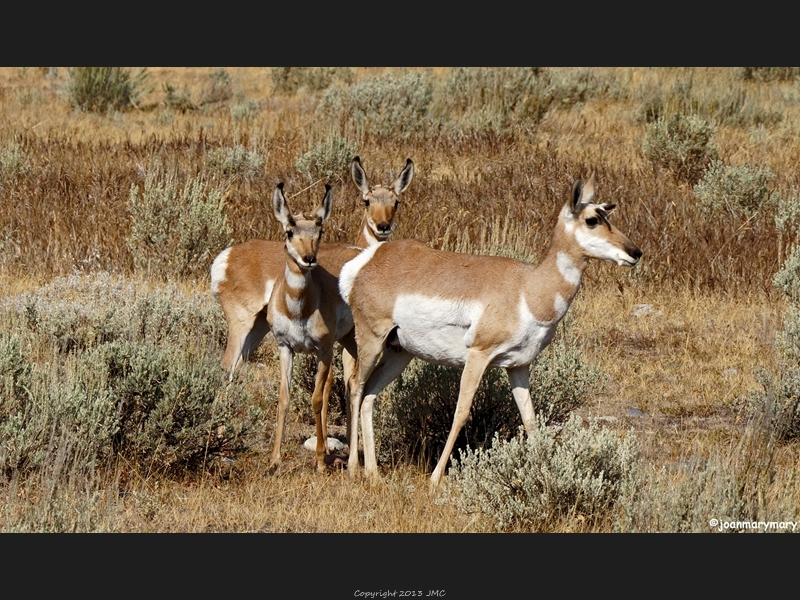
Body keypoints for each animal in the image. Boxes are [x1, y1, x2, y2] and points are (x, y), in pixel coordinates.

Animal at [340, 172, 640, 488]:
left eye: (608, 213)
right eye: (592, 219)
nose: (636, 252)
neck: (527, 288)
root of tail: (370, 260)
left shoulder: (518, 366)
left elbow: (530, 419)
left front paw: (544, 473)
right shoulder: (478, 355)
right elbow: (461, 413)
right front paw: (435, 478)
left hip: (400, 352)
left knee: (369, 395)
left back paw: (373, 473)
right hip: (372, 341)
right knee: (356, 387)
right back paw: (353, 468)